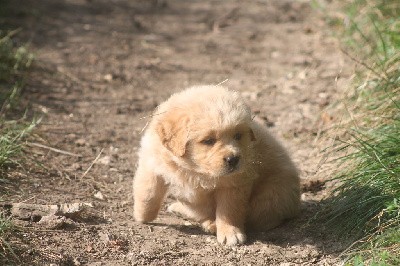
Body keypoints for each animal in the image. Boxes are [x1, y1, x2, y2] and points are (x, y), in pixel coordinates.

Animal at [134, 85, 300, 245]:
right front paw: (142, 215)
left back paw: (211, 224)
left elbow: (228, 210)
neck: (193, 170)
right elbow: (148, 194)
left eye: (238, 136)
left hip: (272, 194)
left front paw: (230, 232)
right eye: (208, 141)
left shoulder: (233, 184)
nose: (233, 159)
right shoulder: (152, 163)